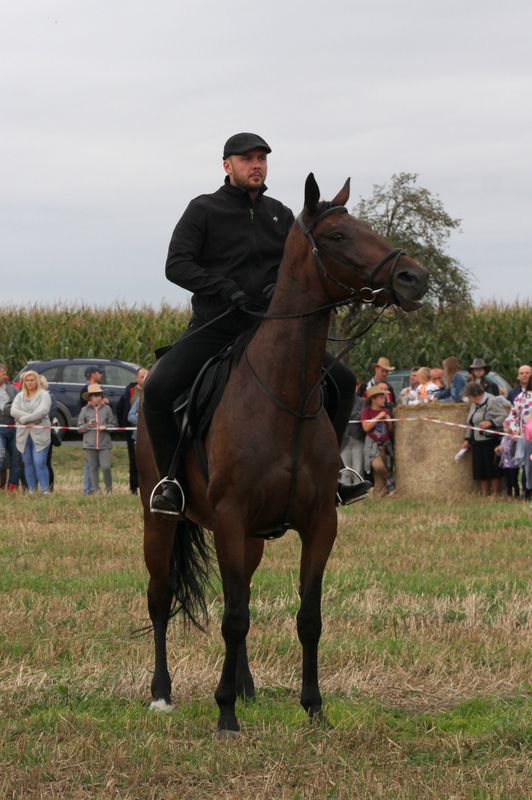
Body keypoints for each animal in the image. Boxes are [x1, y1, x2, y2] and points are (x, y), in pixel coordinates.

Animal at [137, 173, 428, 732]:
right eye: (337, 236)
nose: (414, 278)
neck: (281, 391)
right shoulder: (229, 519)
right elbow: (233, 617)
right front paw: (225, 715)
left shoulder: (318, 524)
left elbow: (306, 618)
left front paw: (313, 708)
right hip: (159, 521)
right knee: (161, 598)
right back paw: (162, 693)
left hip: (251, 539)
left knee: (241, 594)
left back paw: (246, 687)